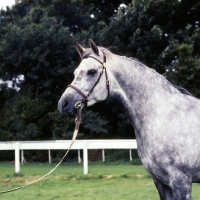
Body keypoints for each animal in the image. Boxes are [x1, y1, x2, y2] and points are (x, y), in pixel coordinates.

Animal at [57, 39, 200, 199]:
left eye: (92, 71)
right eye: (75, 73)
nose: (64, 104)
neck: (164, 116)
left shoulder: (181, 181)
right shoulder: (161, 183)